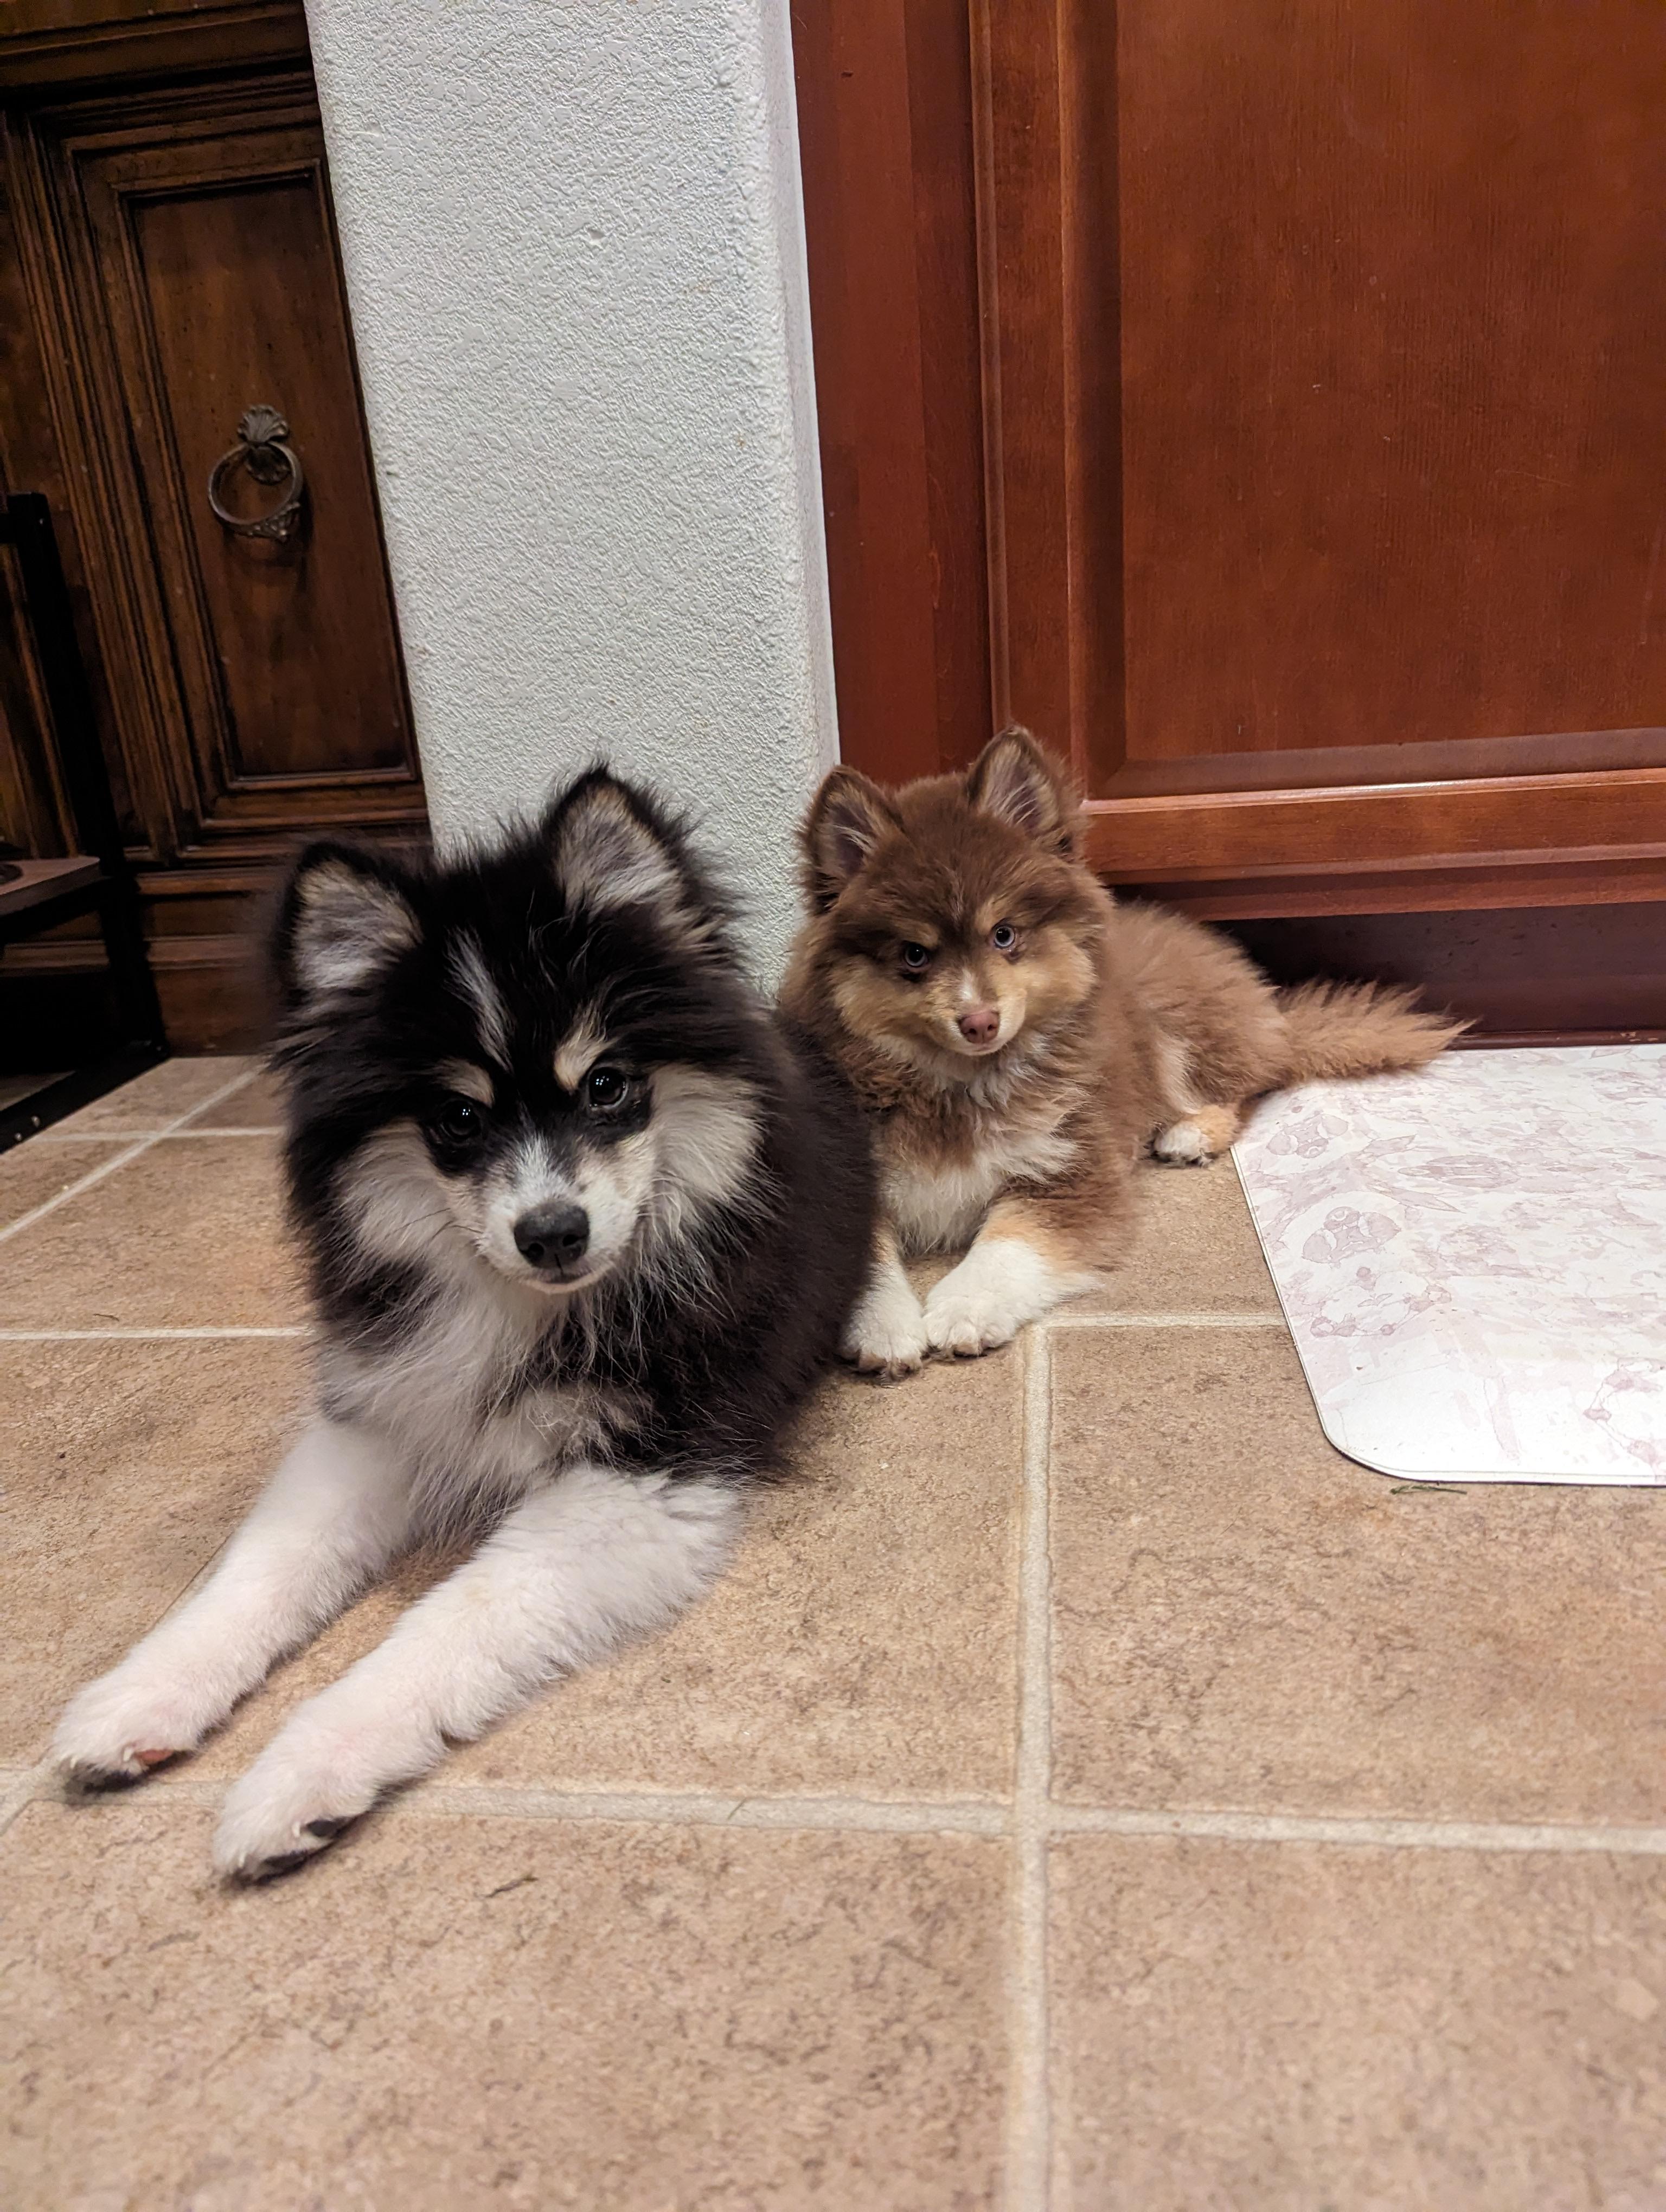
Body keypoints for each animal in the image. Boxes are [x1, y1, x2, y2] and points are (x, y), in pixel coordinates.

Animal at [53, 768, 875, 1878]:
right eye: (456, 1119)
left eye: (606, 1085)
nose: (554, 1232)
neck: (528, 1308)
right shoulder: (383, 1411)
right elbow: (253, 1570)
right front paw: (139, 1695)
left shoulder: (644, 1475)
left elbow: (452, 1624)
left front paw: (298, 1775)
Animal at [781, 727, 1464, 1379]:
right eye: (915, 955)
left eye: (1004, 935)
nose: (979, 1021)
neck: (959, 1085)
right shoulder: (852, 1174)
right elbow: (865, 1260)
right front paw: (885, 1329)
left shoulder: (1067, 1176)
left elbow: (1006, 1246)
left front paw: (963, 1309)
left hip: (1179, 1028)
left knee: (1247, 1087)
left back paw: (1191, 1133)